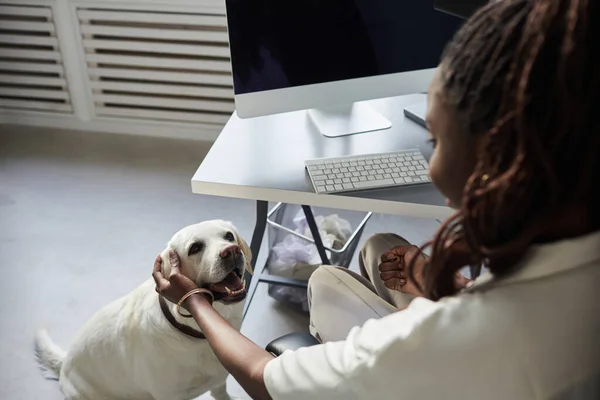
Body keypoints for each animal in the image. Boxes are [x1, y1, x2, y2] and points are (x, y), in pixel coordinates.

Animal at [35, 222, 251, 400]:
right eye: (195, 248)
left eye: (229, 236)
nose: (232, 250)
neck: (197, 334)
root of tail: (65, 363)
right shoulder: (169, 396)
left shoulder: (219, 381)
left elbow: (221, 393)